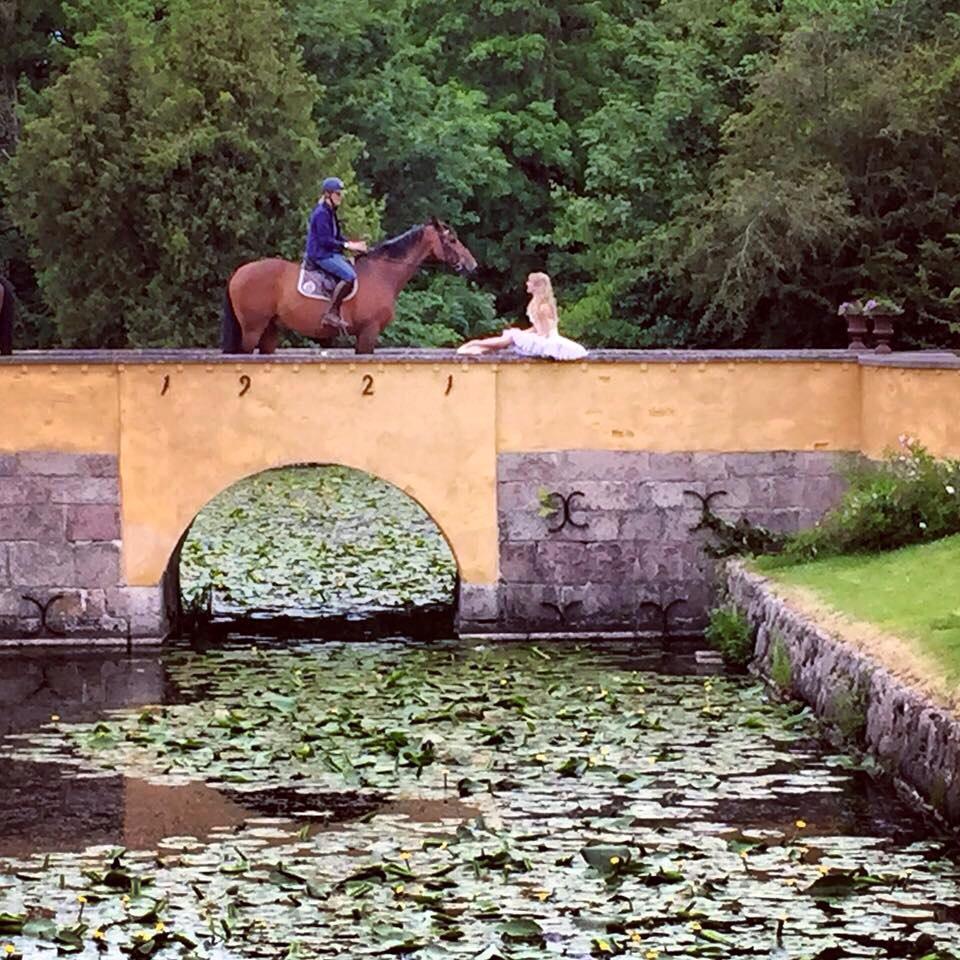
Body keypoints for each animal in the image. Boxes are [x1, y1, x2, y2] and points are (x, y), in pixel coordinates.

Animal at [220, 218, 476, 352]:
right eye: (452, 240)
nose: (472, 264)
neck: (381, 273)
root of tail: (239, 272)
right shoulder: (369, 332)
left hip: (270, 329)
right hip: (252, 328)